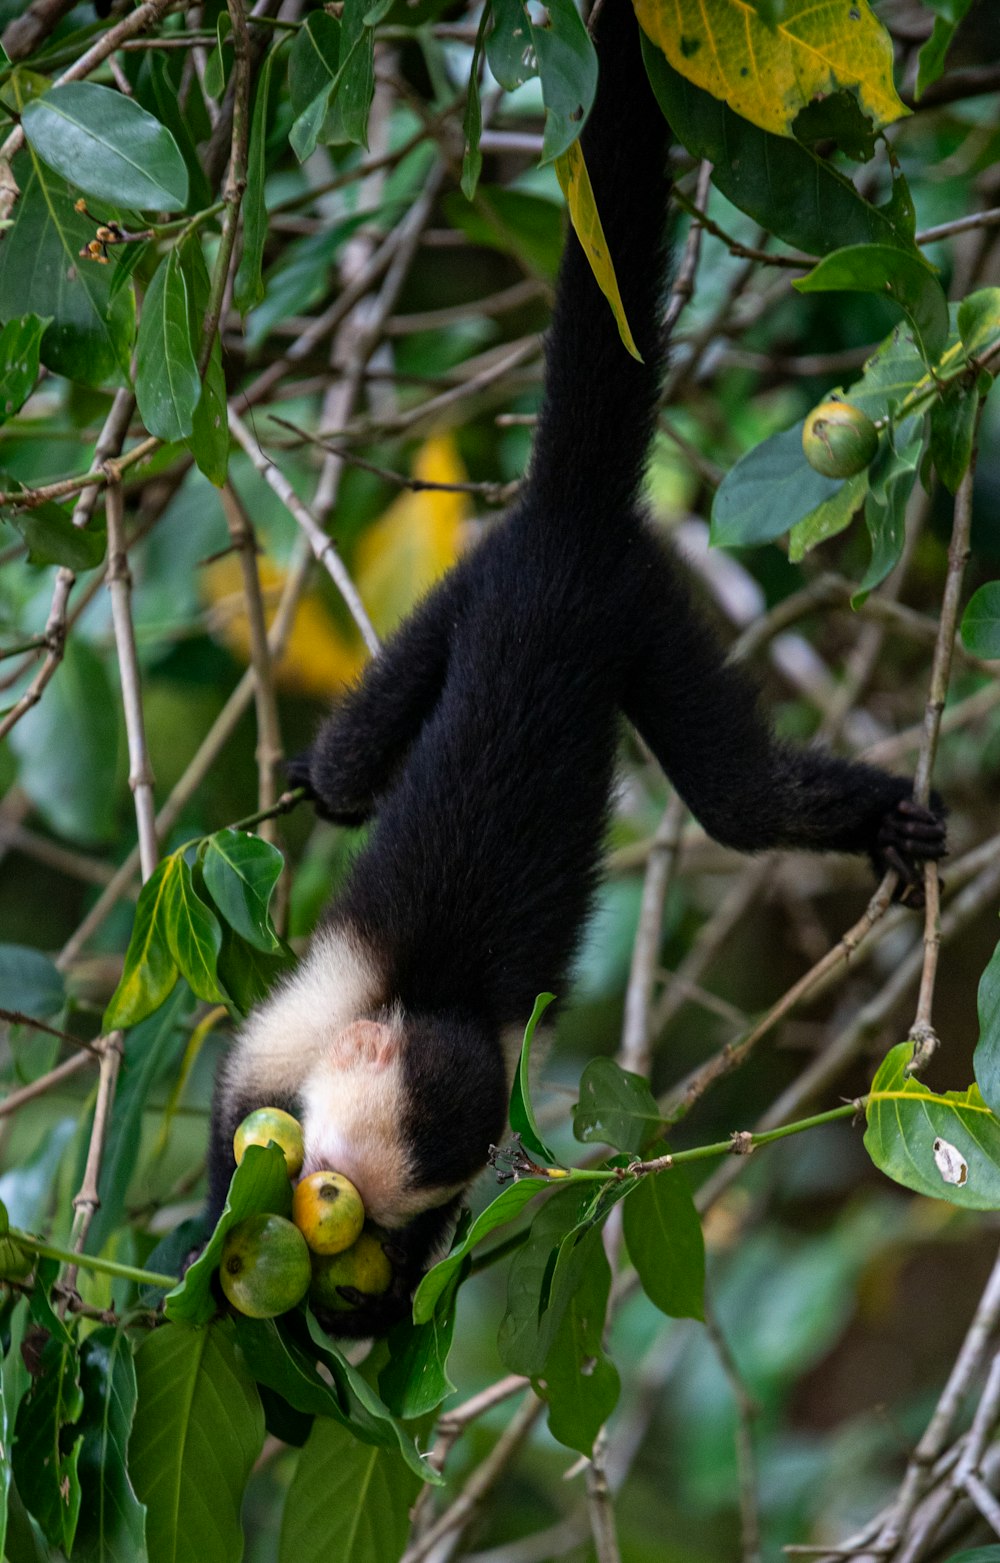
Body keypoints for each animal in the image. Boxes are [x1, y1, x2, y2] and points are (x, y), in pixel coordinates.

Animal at [209, 0, 943, 1337]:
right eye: (328, 1178)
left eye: (368, 1213)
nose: (338, 1223)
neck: (420, 1001)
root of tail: (567, 519)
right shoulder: (292, 1031)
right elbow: (228, 1127)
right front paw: (229, 1258)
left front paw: (361, 1309)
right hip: (505, 577)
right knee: (351, 780)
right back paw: (319, 778)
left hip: (630, 605)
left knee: (738, 805)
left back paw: (881, 825)